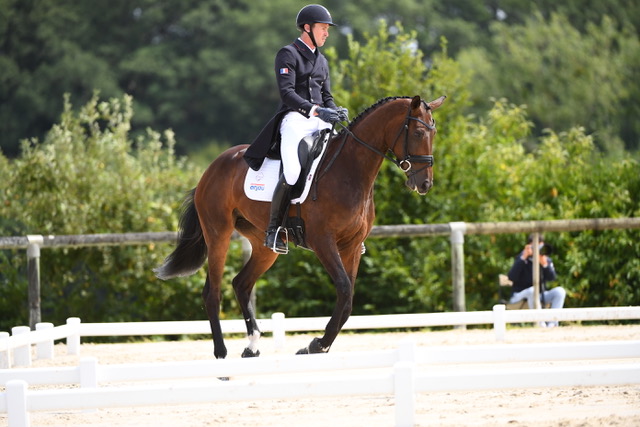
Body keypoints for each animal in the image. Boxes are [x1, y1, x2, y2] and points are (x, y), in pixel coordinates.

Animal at [154, 95, 444, 360]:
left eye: (434, 132)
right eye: (418, 132)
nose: (425, 184)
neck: (350, 171)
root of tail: (211, 168)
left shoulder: (351, 246)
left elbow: (348, 298)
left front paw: (318, 345)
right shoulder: (323, 242)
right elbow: (343, 288)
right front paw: (317, 344)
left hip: (264, 245)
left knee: (241, 284)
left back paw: (252, 346)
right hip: (218, 235)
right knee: (212, 293)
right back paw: (221, 353)